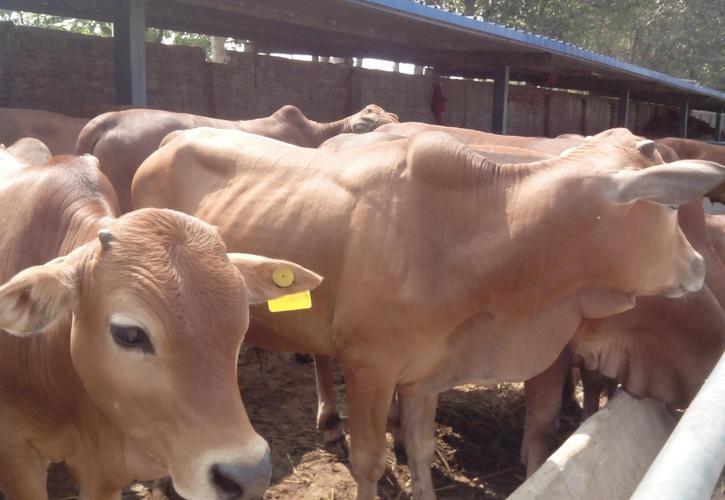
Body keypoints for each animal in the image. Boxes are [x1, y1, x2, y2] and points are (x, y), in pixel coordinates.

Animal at [133, 127, 720, 498]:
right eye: (670, 207)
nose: (698, 266)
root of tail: (169, 139)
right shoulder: (370, 367)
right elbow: (371, 461)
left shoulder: (424, 374)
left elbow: (418, 448)